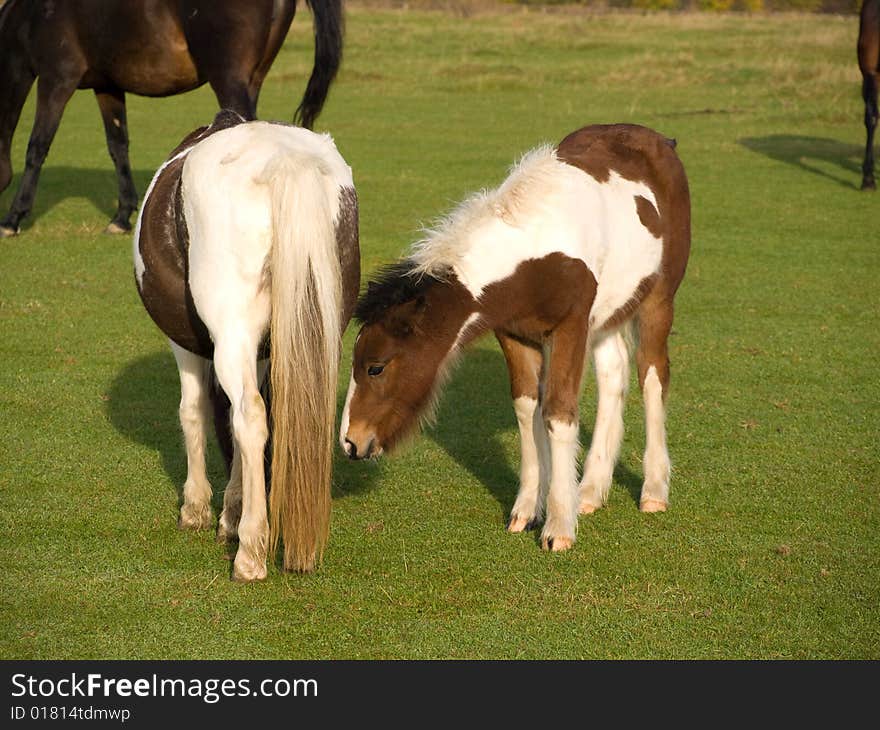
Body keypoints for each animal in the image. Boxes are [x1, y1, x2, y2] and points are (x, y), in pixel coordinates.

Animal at [0, 0, 344, 233]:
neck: (31, 15)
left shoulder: (56, 80)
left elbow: (37, 146)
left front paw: (14, 218)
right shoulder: (107, 87)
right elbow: (118, 146)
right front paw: (122, 216)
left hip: (229, 81)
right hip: (253, 80)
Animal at [135, 108, 360, 576]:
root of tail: (286, 161)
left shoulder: (188, 344)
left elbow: (194, 411)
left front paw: (198, 509)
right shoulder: (260, 352)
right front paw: (231, 513)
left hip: (230, 335)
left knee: (251, 416)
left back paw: (251, 552)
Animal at [340, 122, 692, 548]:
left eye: (375, 367)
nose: (350, 442)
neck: (533, 256)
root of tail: (662, 141)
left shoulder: (570, 328)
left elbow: (559, 412)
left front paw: (559, 527)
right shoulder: (514, 334)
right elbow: (528, 408)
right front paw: (527, 510)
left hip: (658, 298)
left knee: (652, 376)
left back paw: (653, 491)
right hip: (609, 311)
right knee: (614, 374)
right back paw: (590, 491)